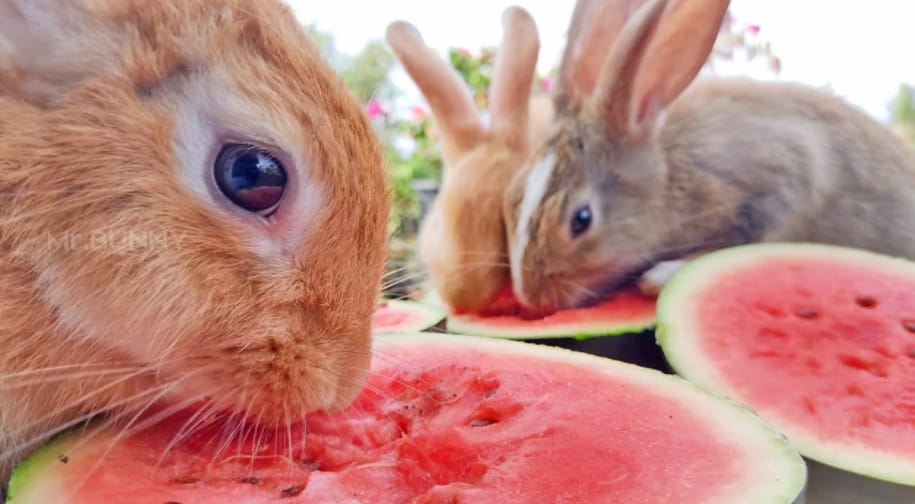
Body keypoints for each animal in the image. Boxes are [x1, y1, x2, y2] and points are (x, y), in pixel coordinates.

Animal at [504, 0, 915, 312]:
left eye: (582, 219)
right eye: (513, 201)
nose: (531, 296)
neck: (669, 174)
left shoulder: (786, 182)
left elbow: (740, 240)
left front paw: (660, 276)